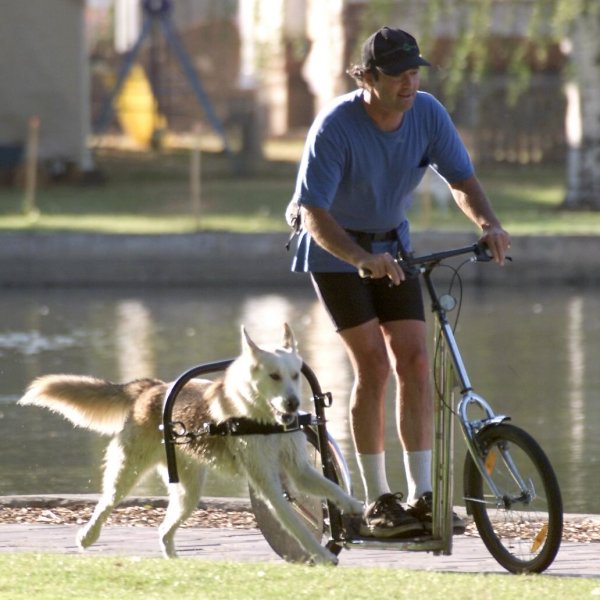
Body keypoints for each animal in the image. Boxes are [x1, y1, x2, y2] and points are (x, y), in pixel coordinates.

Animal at [18, 324, 364, 564]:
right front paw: (322, 555)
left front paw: (355, 507)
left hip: (188, 491)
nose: (293, 404)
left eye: (294, 375)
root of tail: (152, 388)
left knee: (163, 529)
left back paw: (174, 562)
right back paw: (87, 537)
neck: (262, 418)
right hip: (127, 472)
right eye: (274, 376)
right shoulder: (269, 486)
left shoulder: (299, 469)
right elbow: (297, 525)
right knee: (106, 503)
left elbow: (332, 488)